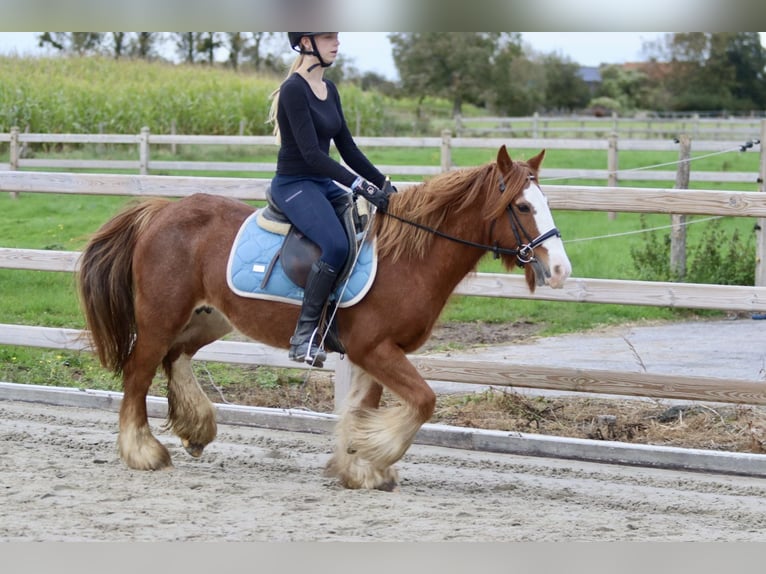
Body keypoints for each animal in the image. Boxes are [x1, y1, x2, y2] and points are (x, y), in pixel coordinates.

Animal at [78, 146, 572, 492]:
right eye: (523, 207)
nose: (561, 270)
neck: (408, 257)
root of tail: (161, 211)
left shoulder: (376, 354)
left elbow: (365, 407)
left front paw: (359, 465)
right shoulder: (374, 349)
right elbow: (424, 401)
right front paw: (371, 454)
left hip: (208, 318)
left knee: (174, 358)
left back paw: (197, 429)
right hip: (160, 317)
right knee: (138, 374)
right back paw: (142, 452)